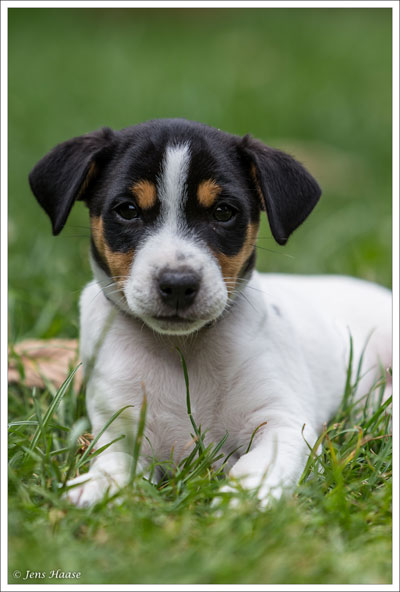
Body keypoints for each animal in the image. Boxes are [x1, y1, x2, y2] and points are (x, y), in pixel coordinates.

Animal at [29, 118, 392, 506]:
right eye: (127, 210)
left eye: (223, 212)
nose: (177, 284)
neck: (183, 350)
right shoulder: (122, 431)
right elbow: (114, 463)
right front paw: (93, 486)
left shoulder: (284, 423)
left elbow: (257, 466)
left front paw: (241, 502)